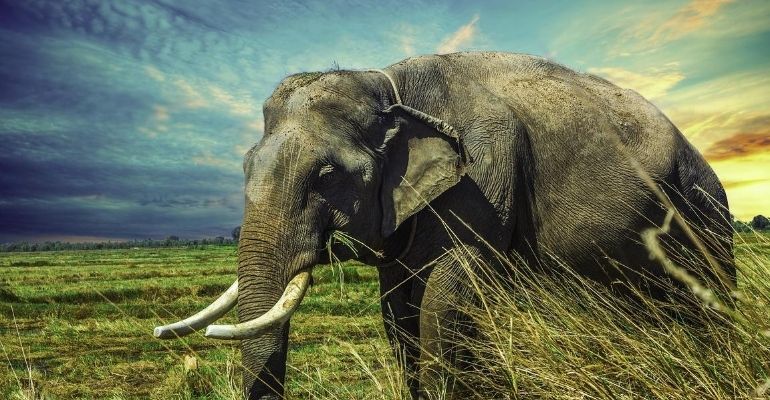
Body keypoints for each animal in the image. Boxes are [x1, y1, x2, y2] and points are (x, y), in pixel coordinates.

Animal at [154, 52, 735, 399]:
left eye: (326, 175)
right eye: (245, 166)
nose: (159, 332)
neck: (388, 82)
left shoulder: (484, 175)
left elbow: (445, 294)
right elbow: (398, 307)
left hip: (705, 208)